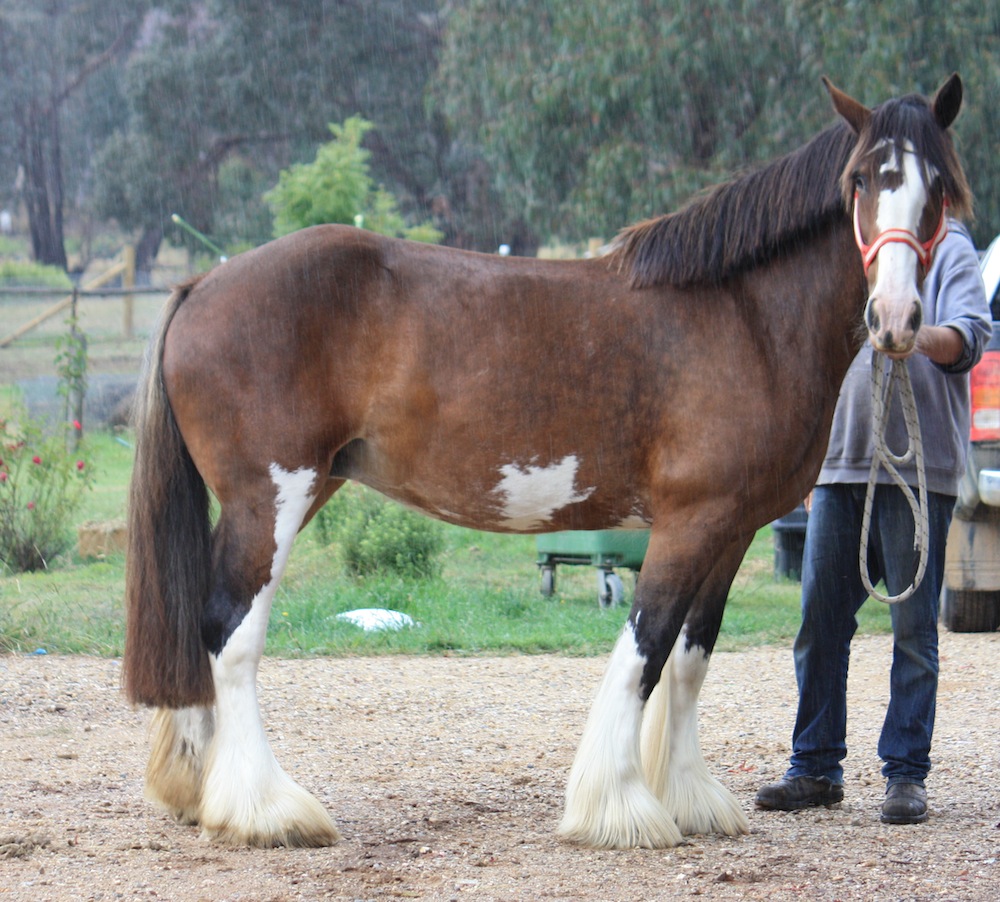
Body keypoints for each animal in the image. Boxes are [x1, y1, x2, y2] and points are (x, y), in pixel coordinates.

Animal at [123, 76, 968, 848]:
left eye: (939, 186)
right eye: (862, 180)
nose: (897, 320)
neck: (745, 317)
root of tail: (203, 283)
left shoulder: (731, 531)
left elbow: (690, 659)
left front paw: (690, 798)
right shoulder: (690, 523)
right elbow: (646, 648)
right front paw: (618, 807)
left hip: (293, 491)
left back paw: (199, 789)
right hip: (272, 497)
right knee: (229, 629)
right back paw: (265, 810)